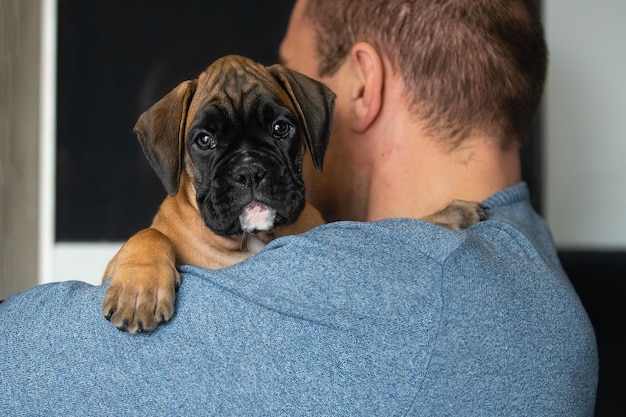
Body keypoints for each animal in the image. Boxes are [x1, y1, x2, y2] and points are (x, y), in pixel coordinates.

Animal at [101, 54, 482, 332]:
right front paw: (140, 287)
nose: (249, 170)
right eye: (204, 140)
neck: (250, 241)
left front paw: (448, 214)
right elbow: (150, 234)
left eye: (280, 128)